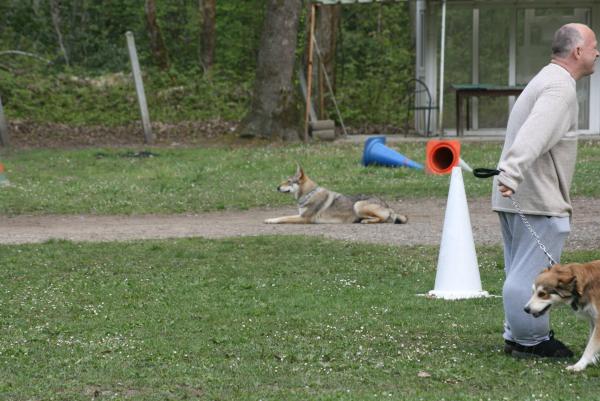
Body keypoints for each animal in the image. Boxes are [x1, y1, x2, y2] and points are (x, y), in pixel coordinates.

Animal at [264, 164, 408, 223]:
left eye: (288, 181)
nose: (277, 187)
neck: (309, 194)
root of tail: (388, 206)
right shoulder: (300, 215)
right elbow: (284, 215)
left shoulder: (304, 218)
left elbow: (283, 218)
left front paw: (270, 220)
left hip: (358, 205)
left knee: (383, 219)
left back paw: (365, 221)